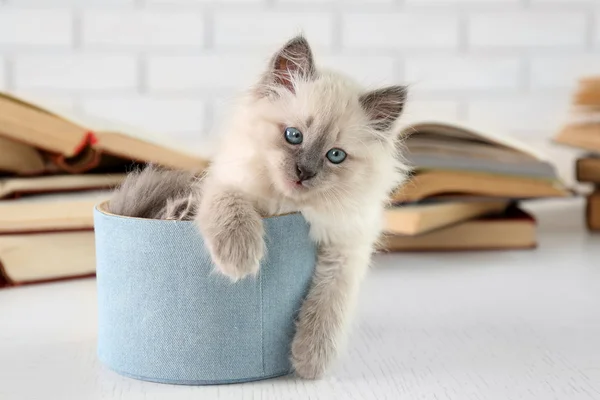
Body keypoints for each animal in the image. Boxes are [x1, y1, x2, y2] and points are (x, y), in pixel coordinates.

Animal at [109, 36, 408, 380]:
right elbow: (233, 206)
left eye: (335, 156)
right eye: (294, 136)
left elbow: (331, 303)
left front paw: (311, 361)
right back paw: (180, 212)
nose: (304, 173)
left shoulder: (346, 249)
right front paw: (239, 259)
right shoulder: (225, 183)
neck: (285, 204)